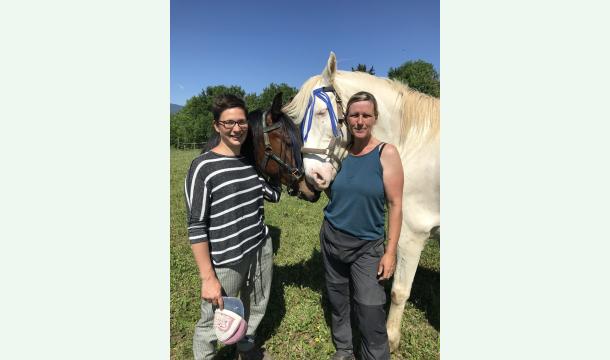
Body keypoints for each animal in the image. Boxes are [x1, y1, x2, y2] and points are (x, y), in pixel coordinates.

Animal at [282, 52, 440, 350]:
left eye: (321, 113)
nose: (312, 180)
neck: (413, 145)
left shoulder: (412, 232)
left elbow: (399, 291)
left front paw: (391, 338)